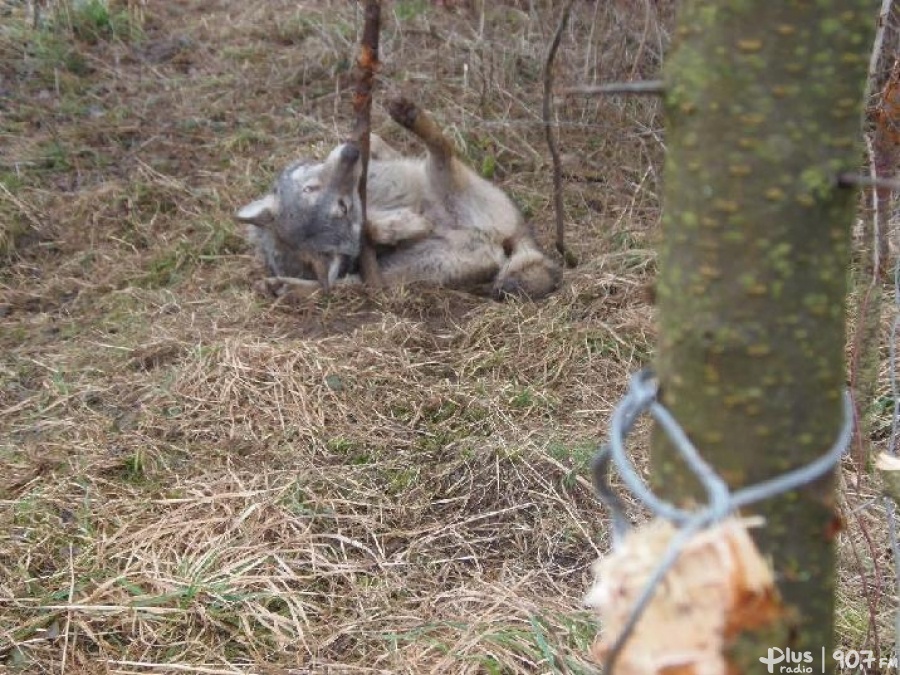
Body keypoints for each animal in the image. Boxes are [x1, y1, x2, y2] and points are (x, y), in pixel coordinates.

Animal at [239, 97, 564, 302]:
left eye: (311, 188)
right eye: (343, 208)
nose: (350, 154)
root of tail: (512, 234)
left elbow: (379, 146)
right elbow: (369, 228)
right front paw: (401, 225)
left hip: (438, 179)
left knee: (441, 145)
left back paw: (408, 114)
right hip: (401, 268)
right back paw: (284, 288)